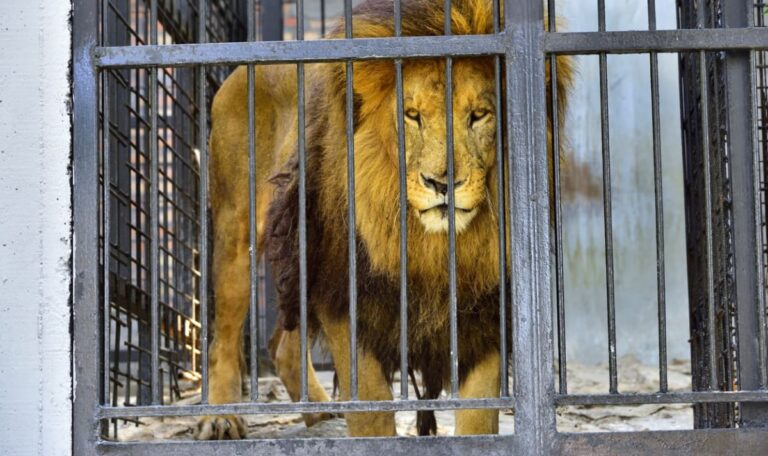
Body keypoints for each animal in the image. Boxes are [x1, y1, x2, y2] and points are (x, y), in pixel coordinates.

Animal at [196, 0, 573, 440]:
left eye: (479, 115)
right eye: (412, 115)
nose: (443, 183)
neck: (428, 247)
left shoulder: (486, 310)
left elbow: (479, 418)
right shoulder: (345, 296)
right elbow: (372, 412)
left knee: (283, 347)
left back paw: (321, 415)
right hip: (237, 231)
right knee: (222, 338)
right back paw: (220, 417)